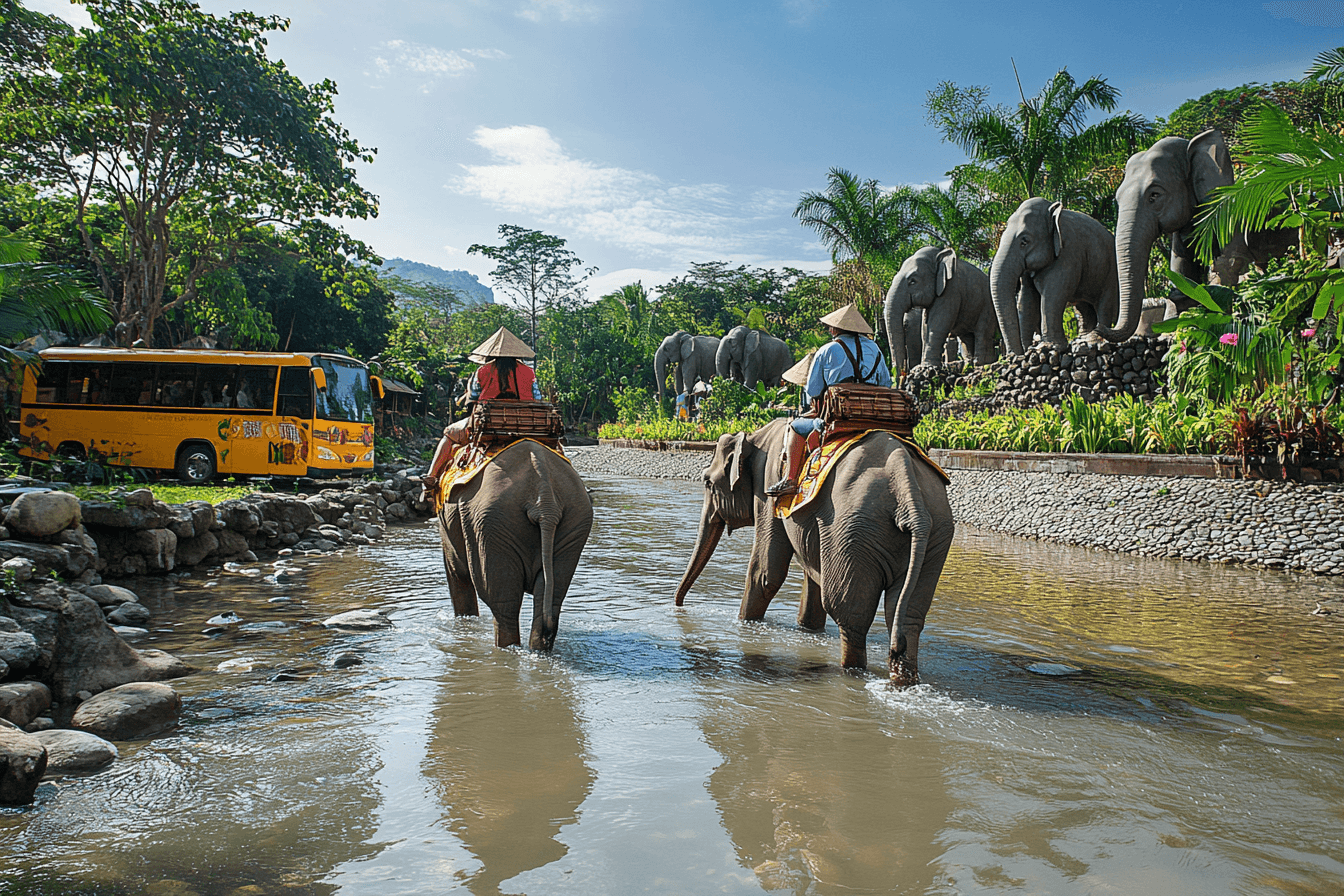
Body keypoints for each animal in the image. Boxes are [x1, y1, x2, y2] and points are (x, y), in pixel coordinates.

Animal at [438, 440, 591, 652]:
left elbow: (456, 572)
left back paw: (504, 649)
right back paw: (538, 651)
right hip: (575, 519)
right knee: (551, 600)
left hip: (492, 522)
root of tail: (545, 502)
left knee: (503, 605)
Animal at [672, 421, 956, 687]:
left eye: (707, 481)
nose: (679, 606)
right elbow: (813, 572)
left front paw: (743, 624)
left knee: (849, 612)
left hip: (853, 528)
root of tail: (908, 489)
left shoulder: (767, 486)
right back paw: (901, 680)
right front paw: (807, 629)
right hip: (934, 535)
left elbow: (766, 573)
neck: (755, 435)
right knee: (907, 617)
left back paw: (851, 673)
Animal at [989, 197, 1123, 354]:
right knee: (1083, 307)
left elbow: (1054, 294)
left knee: (1104, 303)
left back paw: (1094, 340)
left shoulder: (1068, 252)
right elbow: (1027, 298)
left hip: (1111, 272)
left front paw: (1048, 347)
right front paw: (1031, 350)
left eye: (1024, 241)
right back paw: (1083, 339)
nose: (1014, 355)